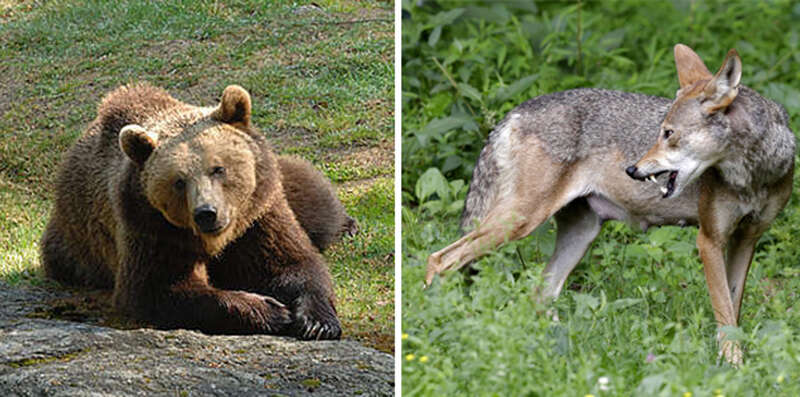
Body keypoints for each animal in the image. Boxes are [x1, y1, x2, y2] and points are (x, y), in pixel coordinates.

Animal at [40, 82, 354, 338]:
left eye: (218, 168)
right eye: (179, 181)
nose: (207, 213)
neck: (218, 239)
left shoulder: (259, 216)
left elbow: (292, 263)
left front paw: (316, 322)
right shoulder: (150, 228)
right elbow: (160, 289)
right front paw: (270, 310)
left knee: (313, 203)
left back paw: (346, 225)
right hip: (75, 247)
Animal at [424, 44, 792, 364]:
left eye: (668, 134)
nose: (632, 169)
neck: (755, 173)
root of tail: (513, 113)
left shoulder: (746, 239)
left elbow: (733, 310)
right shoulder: (709, 240)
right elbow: (725, 315)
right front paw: (733, 367)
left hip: (579, 235)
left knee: (539, 294)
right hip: (518, 223)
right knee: (439, 260)